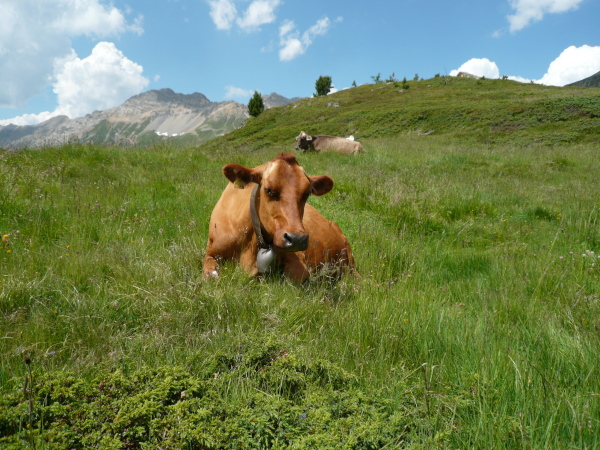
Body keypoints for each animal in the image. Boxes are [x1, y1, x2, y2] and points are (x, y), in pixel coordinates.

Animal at [203, 153, 355, 282]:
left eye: (307, 193)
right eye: (268, 190)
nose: (297, 239)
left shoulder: (299, 265)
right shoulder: (210, 253)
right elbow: (211, 275)